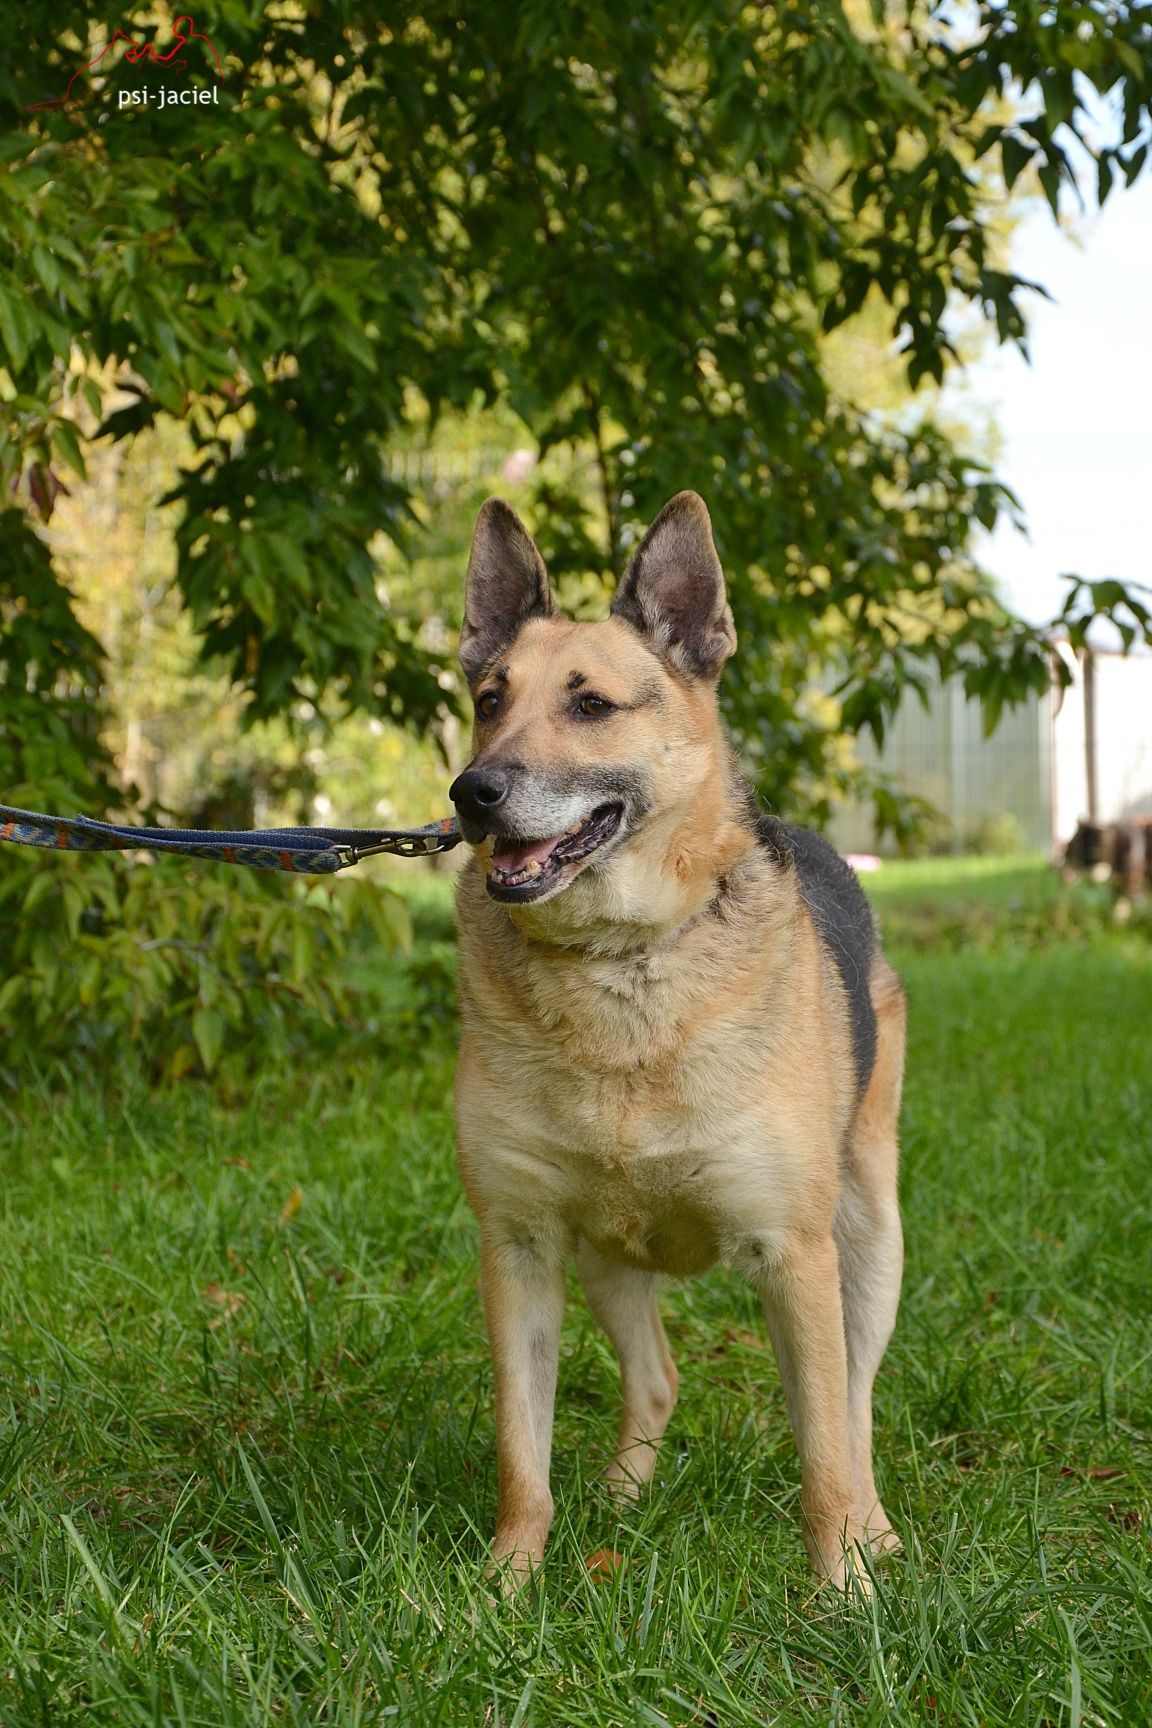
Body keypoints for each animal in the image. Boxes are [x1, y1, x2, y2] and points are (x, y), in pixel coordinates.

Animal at [449, 494, 911, 1582]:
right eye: (489, 698)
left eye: (590, 707)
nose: (471, 793)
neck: (620, 966)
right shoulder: (519, 1247)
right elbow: (520, 1454)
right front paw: (504, 1586)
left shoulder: (795, 1255)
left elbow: (823, 1454)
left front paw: (841, 1592)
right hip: (608, 1256)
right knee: (656, 1376)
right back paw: (622, 1500)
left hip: (871, 1241)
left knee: (857, 1410)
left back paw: (876, 1531)